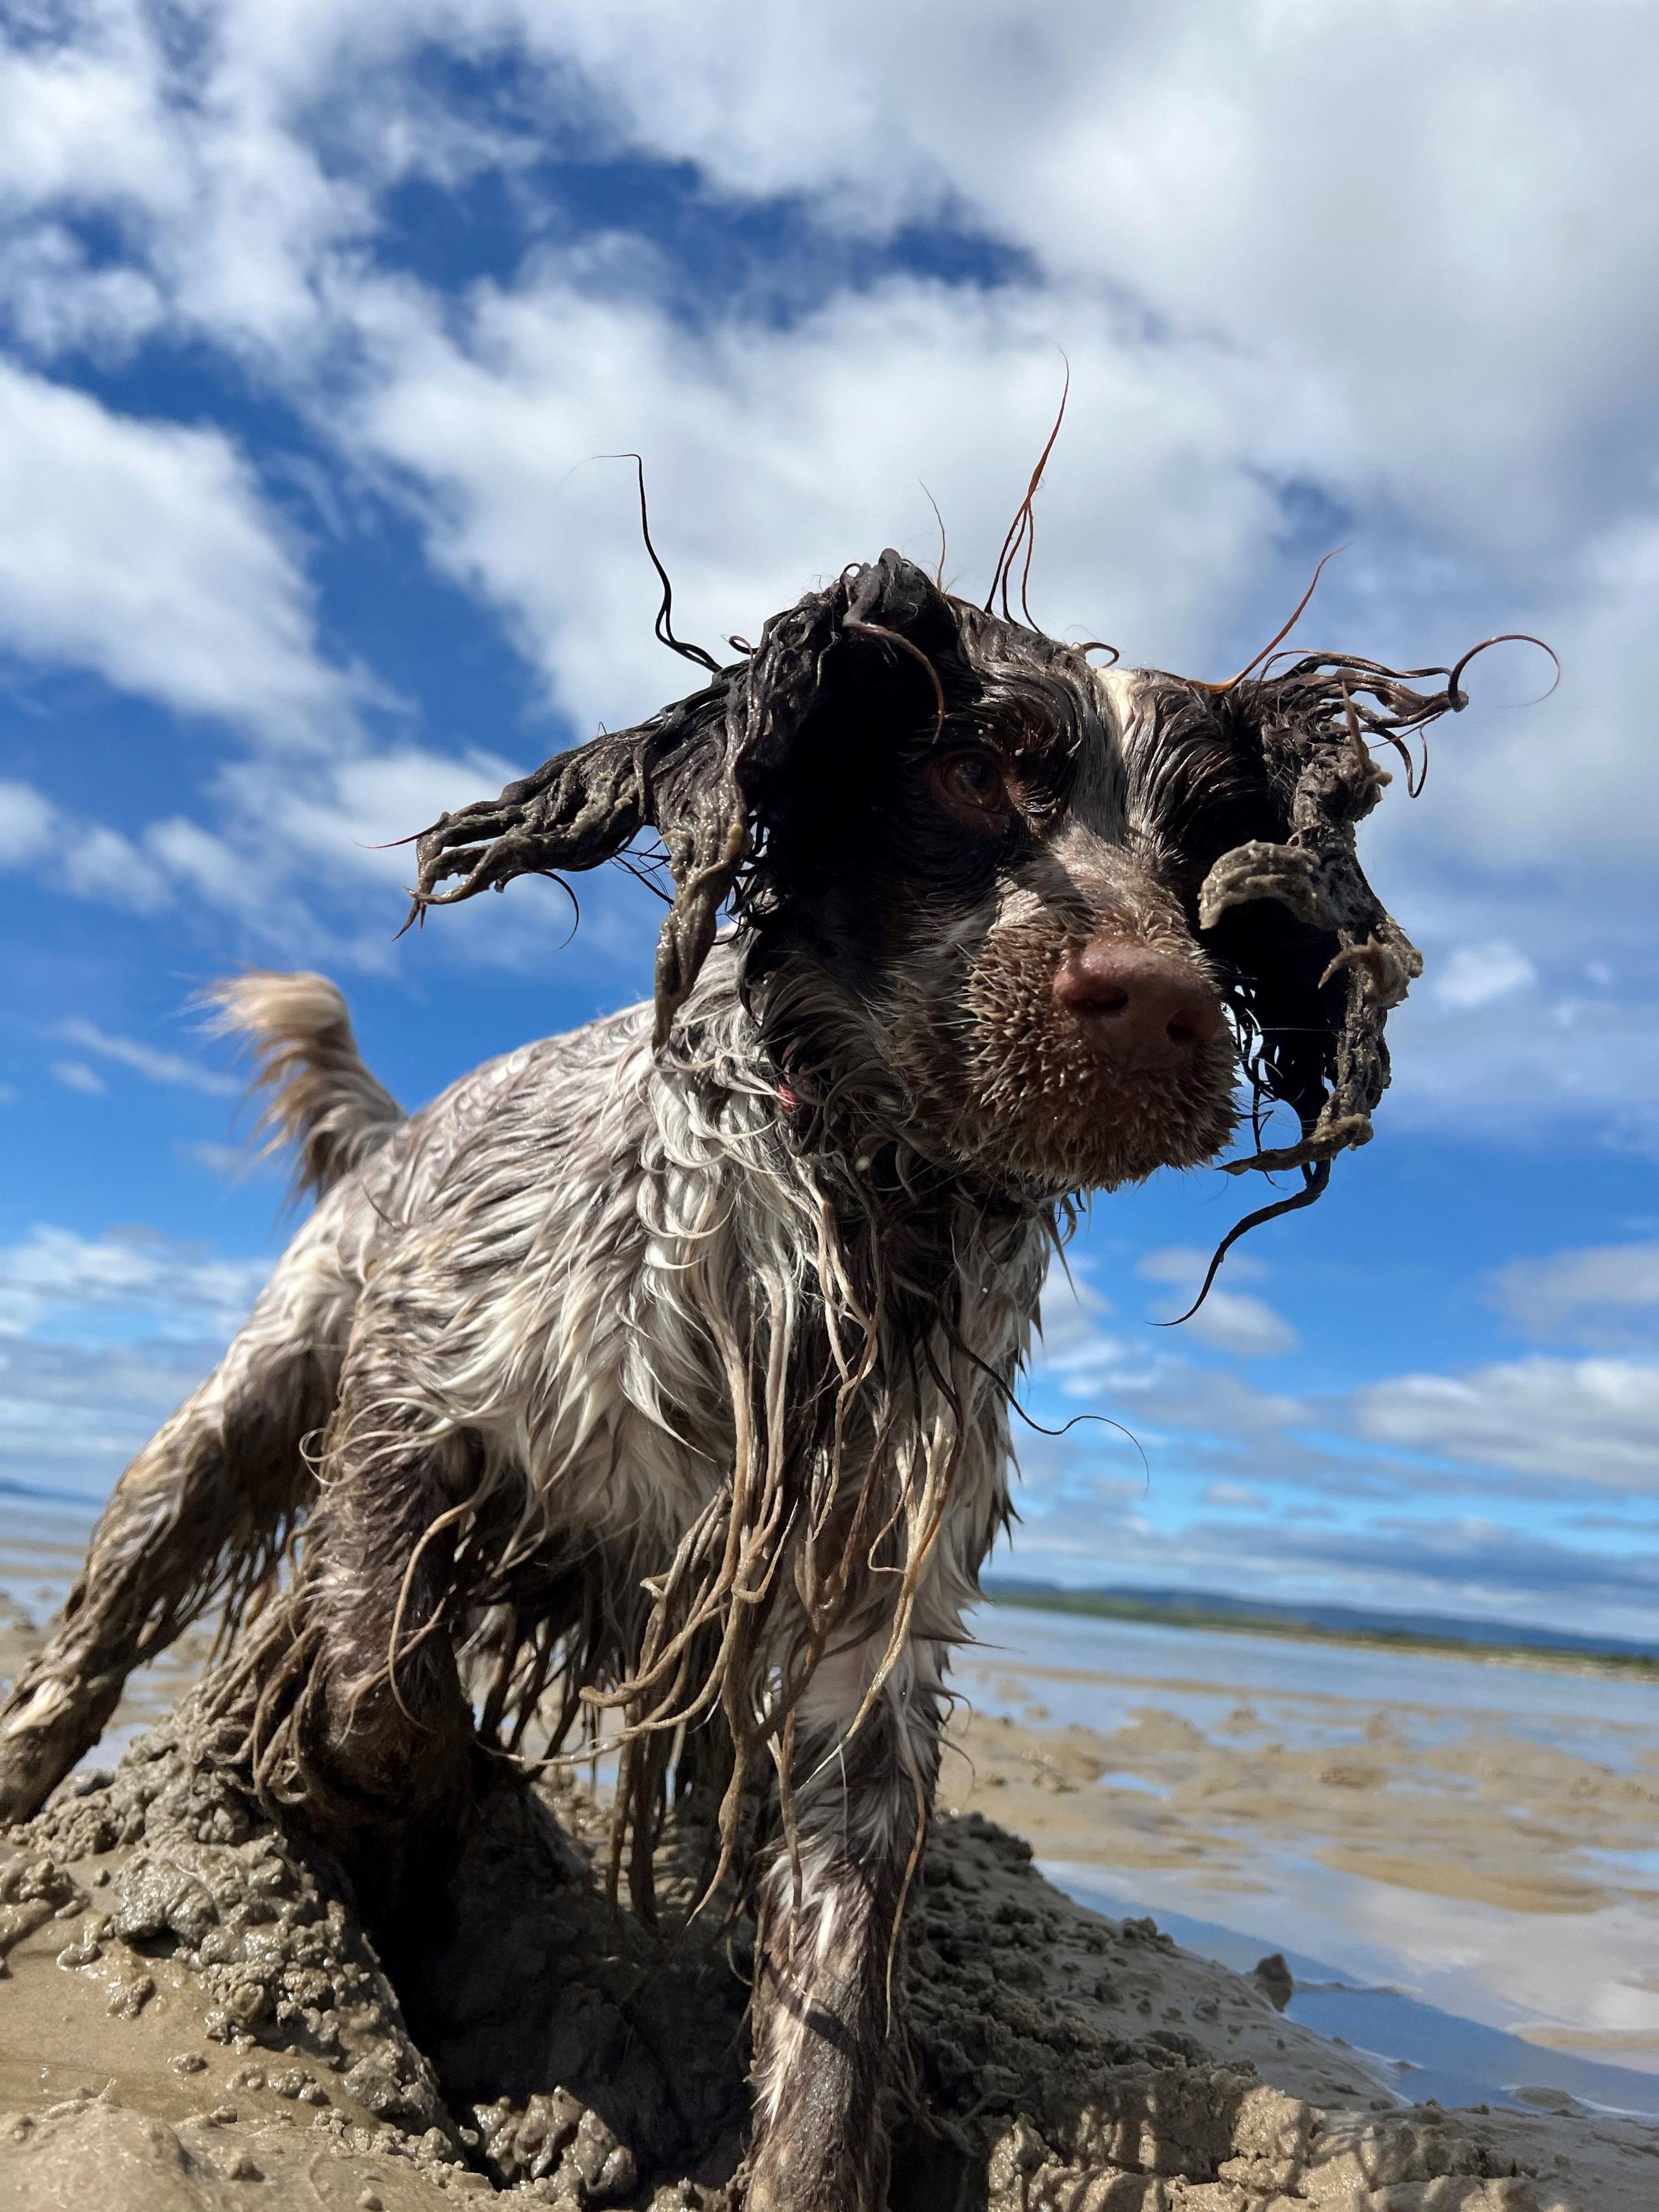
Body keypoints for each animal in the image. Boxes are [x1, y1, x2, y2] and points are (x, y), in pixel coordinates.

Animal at [0, 548, 1478, 2194]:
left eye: (1210, 851)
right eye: (969, 770)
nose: (1162, 1003)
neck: (858, 1209)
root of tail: (399, 1124)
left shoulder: (868, 1636)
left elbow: (829, 2007)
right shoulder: (416, 1383)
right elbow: (383, 1675)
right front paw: (359, 1787)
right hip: (225, 1421)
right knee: (91, 1647)